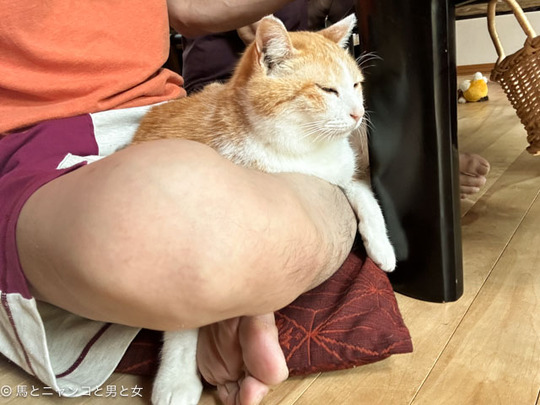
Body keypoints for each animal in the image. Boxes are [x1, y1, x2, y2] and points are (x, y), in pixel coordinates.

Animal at [131, 14, 396, 405]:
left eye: (355, 85)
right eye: (327, 90)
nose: (358, 112)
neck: (301, 152)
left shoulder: (345, 175)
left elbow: (368, 202)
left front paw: (383, 249)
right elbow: (183, 322)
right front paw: (175, 379)